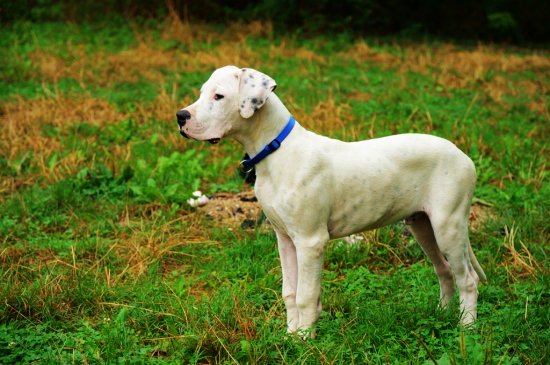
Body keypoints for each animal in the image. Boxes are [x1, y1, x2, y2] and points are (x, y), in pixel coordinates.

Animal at [177, 65, 488, 336]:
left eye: (219, 96)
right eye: (202, 93)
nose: (180, 116)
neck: (277, 150)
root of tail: (463, 155)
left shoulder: (310, 241)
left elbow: (306, 294)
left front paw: (304, 340)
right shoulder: (285, 239)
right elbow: (290, 292)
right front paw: (290, 336)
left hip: (448, 226)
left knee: (467, 279)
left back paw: (467, 328)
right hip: (423, 226)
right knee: (445, 270)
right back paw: (442, 314)